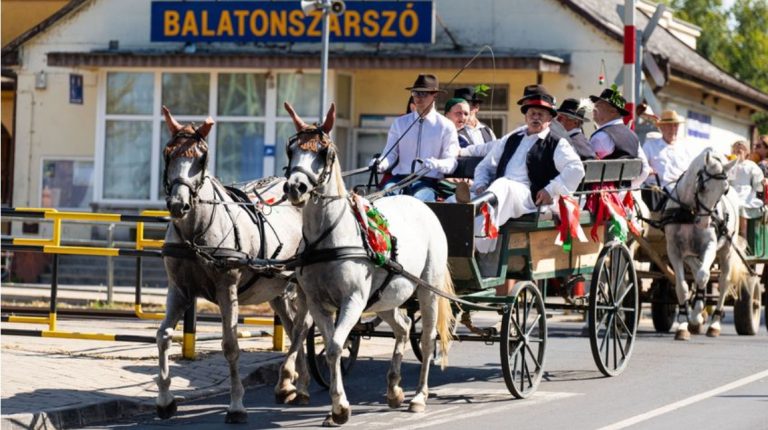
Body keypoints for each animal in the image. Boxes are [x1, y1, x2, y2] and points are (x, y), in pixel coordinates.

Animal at [156, 107, 312, 424]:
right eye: (168, 153)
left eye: (201, 158)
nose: (178, 204)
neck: (196, 232)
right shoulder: (179, 290)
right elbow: (163, 336)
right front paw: (165, 400)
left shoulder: (227, 288)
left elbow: (230, 346)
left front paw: (237, 405)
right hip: (276, 289)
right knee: (294, 327)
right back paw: (293, 383)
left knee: (304, 326)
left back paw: (294, 381)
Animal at [282, 101, 456, 426]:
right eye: (292, 150)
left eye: (323, 152)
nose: (295, 187)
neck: (329, 237)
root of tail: (420, 203)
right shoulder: (317, 302)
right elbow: (329, 345)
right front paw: (334, 405)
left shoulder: (352, 300)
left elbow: (335, 346)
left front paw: (339, 407)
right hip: (386, 298)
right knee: (402, 327)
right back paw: (394, 390)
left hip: (427, 291)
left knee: (427, 339)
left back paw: (419, 397)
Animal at [660, 149, 752, 340]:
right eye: (702, 187)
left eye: (724, 189)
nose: (704, 223)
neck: (688, 212)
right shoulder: (674, 250)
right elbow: (682, 287)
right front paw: (683, 324)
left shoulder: (709, 245)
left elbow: (704, 276)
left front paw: (695, 316)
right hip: (690, 253)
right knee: (697, 270)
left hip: (727, 251)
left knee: (723, 282)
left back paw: (714, 323)